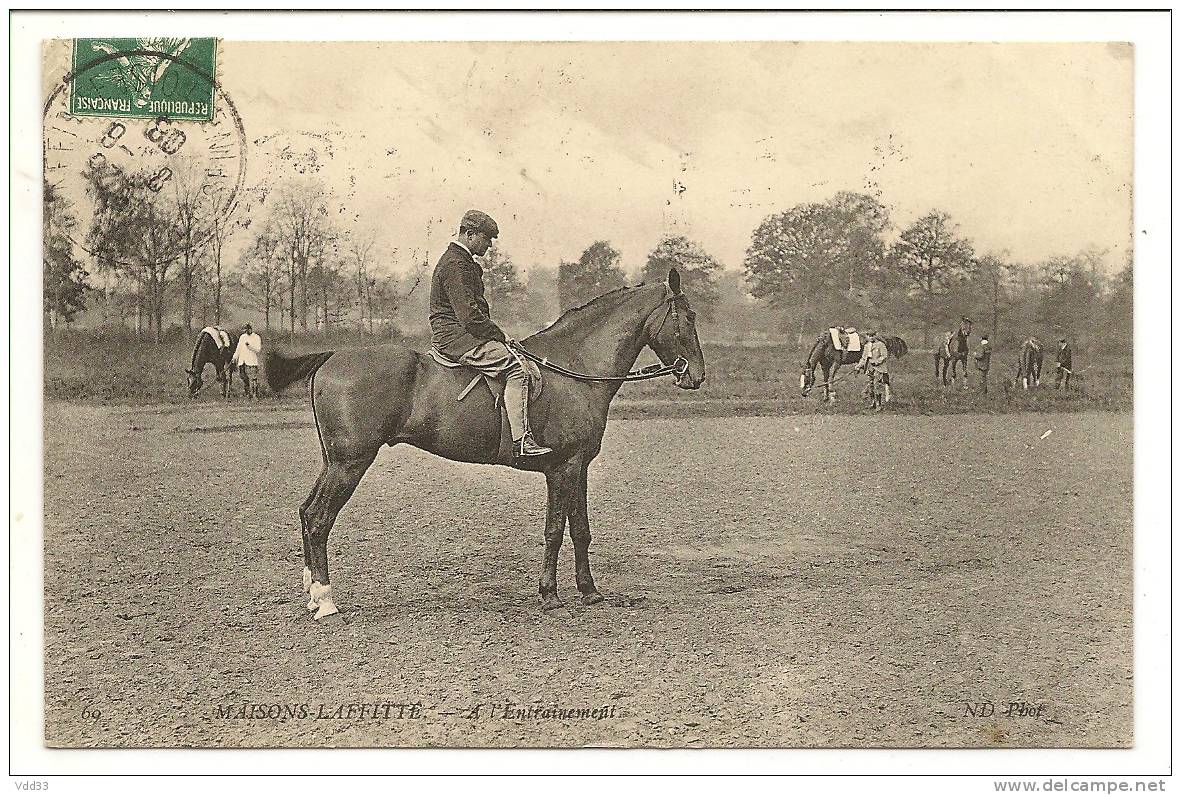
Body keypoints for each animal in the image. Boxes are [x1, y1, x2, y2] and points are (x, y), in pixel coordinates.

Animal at [265, 269, 699, 618]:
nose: (696, 375)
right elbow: (555, 530)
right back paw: (325, 601)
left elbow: (581, 530)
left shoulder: (580, 467)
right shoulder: (562, 469)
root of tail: (333, 357)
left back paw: (312, 592)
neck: (575, 369)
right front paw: (550, 595)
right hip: (350, 463)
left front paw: (590, 592)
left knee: (306, 513)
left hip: (334, 463)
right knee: (319, 518)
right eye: (690, 317)